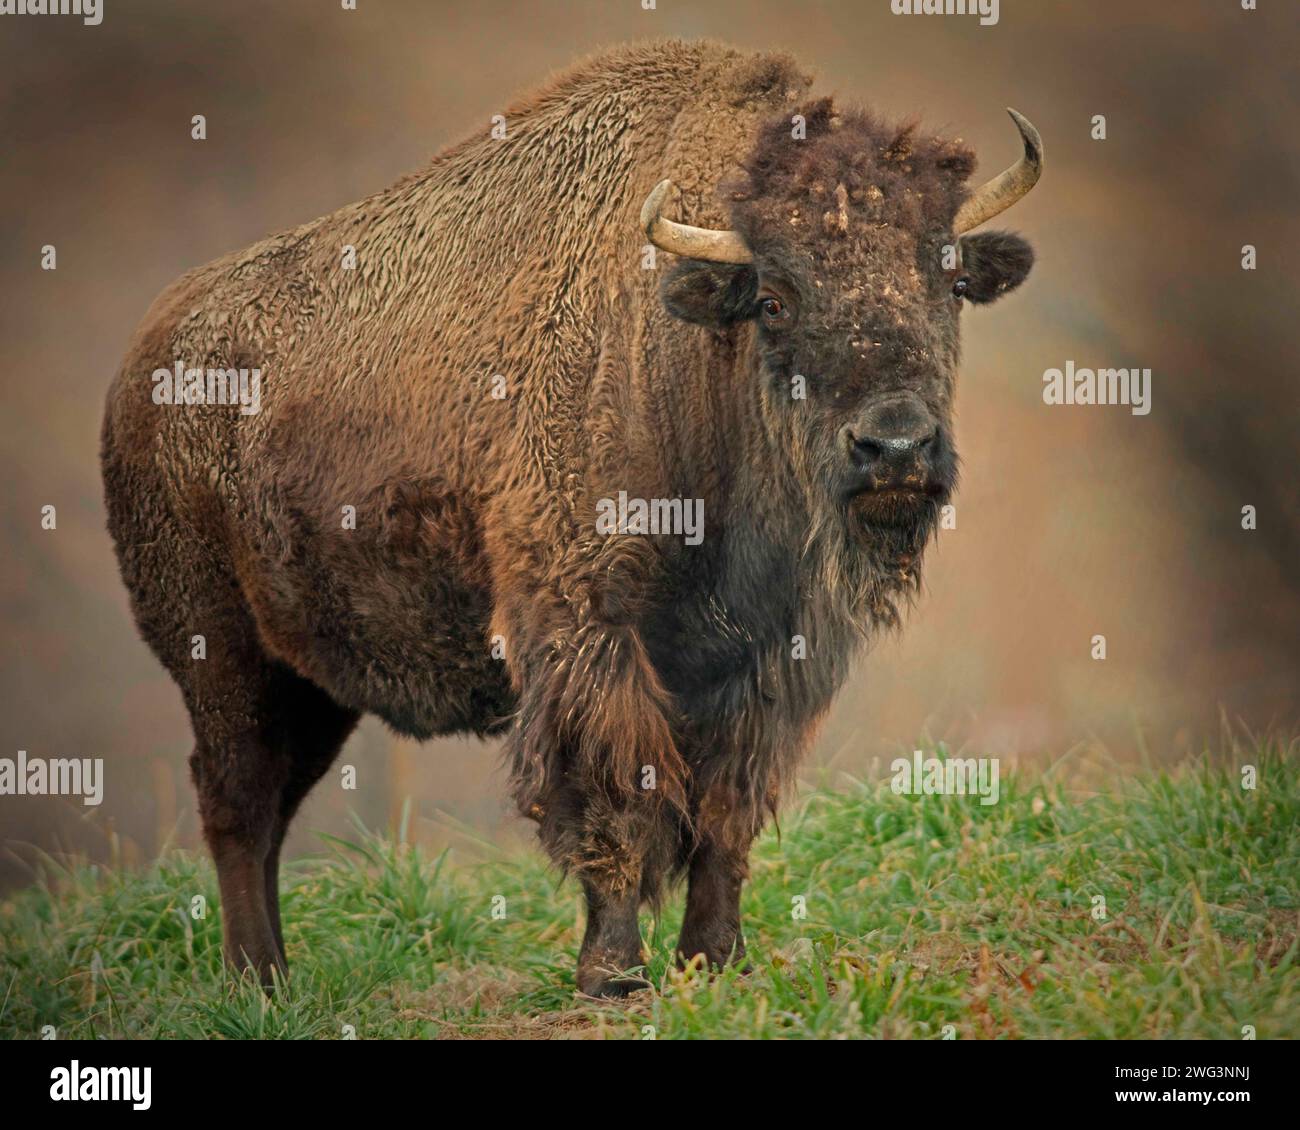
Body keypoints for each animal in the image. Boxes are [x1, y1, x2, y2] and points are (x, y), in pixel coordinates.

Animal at [101, 41, 1040, 998]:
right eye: (775, 298)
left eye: (949, 280)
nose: (895, 446)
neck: (688, 358)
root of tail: (142, 366)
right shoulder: (589, 627)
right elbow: (615, 789)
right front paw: (613, 973)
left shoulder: (765, 659)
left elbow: (725, 812)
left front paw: (717, 958)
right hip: (220, 657)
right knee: (238, 801)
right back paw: (257, 981)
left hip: (313, 683)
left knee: (272, 801)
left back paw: (277, 977)